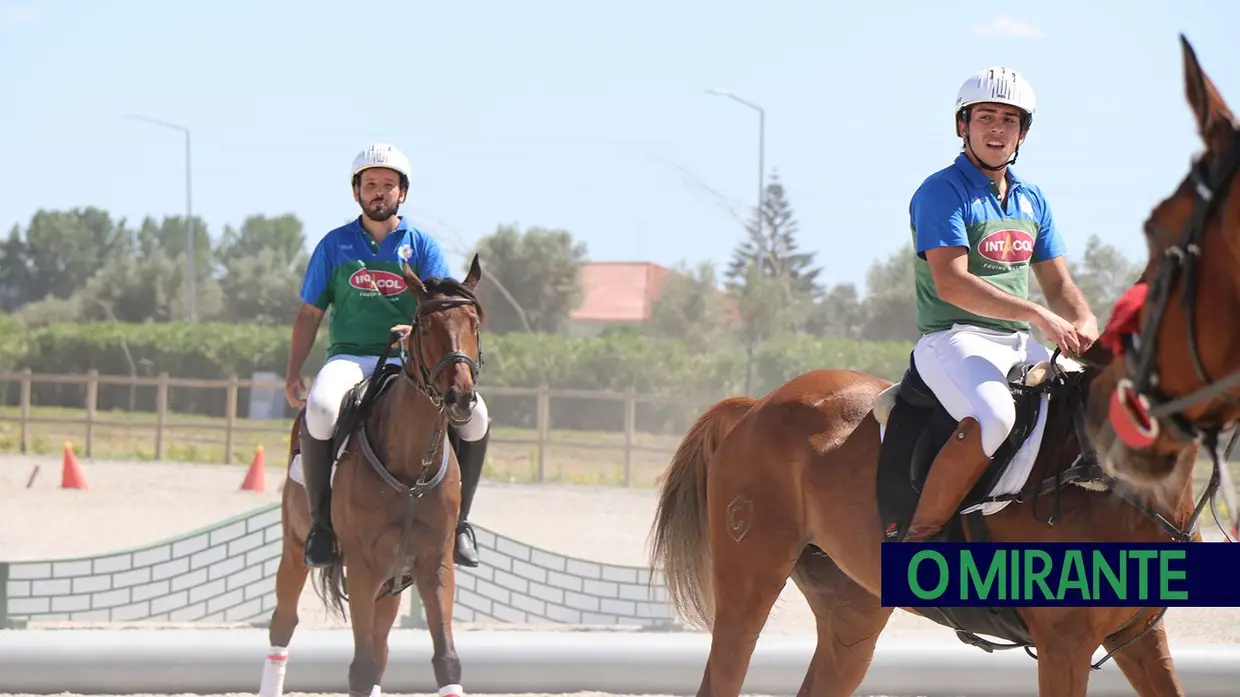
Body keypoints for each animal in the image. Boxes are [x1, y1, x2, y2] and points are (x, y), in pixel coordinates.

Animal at [259, 254, 486, 694]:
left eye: (474, 323)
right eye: (425, 326)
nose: (461, 397)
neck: (413, 468)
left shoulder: (434, 565)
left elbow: (445, 661)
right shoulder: (363, 568)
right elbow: (361, 668)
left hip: (392, 580)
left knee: (381, 647)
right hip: (295, 550)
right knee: (283, 624)